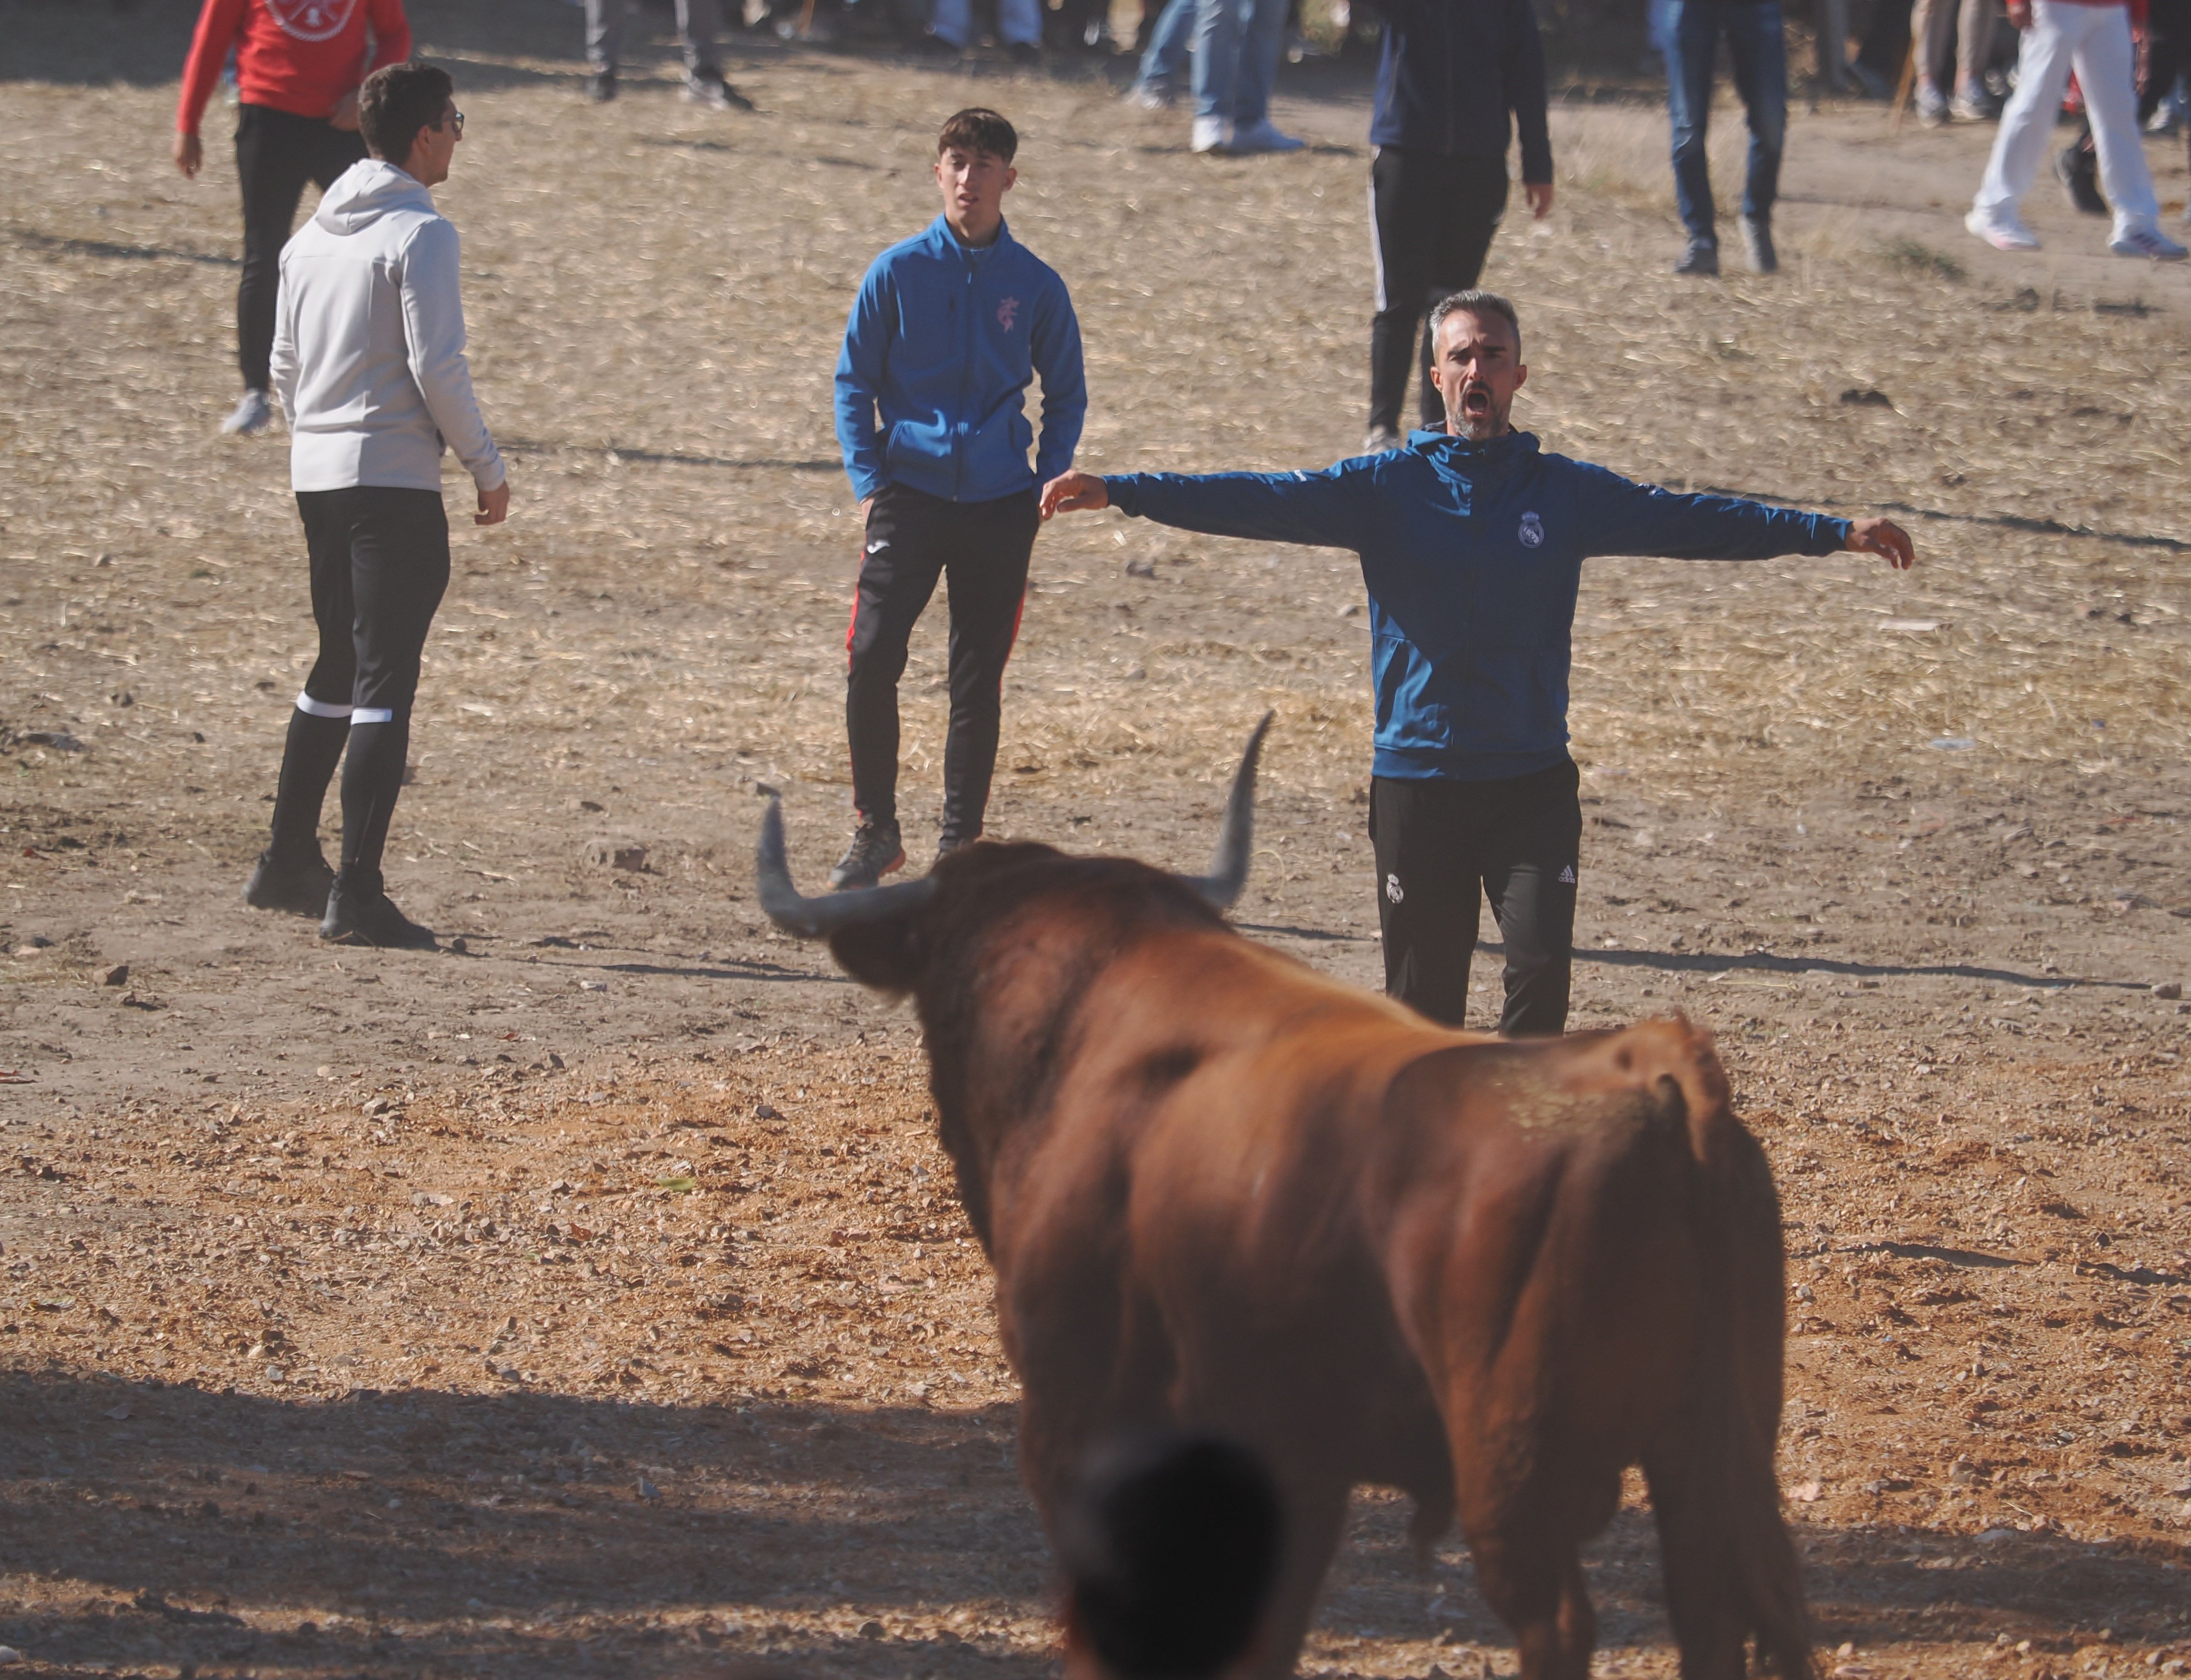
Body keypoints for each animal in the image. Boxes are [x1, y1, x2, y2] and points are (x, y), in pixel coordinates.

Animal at [758, 727, 1814, 1680]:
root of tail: (1653, 1074)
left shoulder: (1074, 1422)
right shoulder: (1292, 1454)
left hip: (1515, 1472)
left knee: (1561, 1624)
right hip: (1715, 1465)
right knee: (1736, 1608)